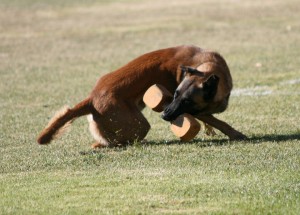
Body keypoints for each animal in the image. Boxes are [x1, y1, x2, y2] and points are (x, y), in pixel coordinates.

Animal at [37, 44, 246, 147]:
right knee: (115, 142)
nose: (165, 115)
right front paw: (235, 134)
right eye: (175, 94)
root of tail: (92, 98)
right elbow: (217, 121)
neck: (207, 67)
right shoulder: (195, 110)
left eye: (185, 99)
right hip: (139, 125)